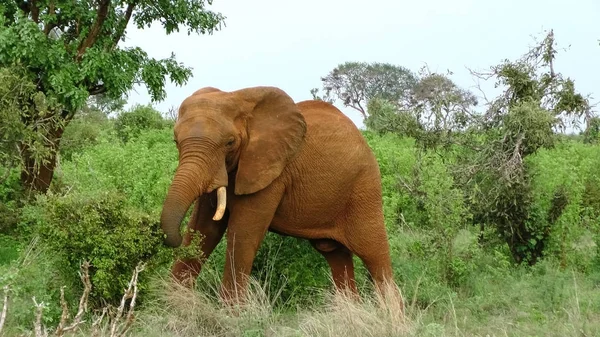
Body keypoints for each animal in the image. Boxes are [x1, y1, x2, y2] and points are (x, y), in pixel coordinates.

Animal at [162, 85, 400, 306]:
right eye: (175, 141)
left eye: (230, 142)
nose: (169, 238)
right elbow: (204, 228)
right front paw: (171, 304)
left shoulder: (272, 173)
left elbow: (243, 235)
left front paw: (231, 312)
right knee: (336, 255)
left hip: (364, 187)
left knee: (374, 254)